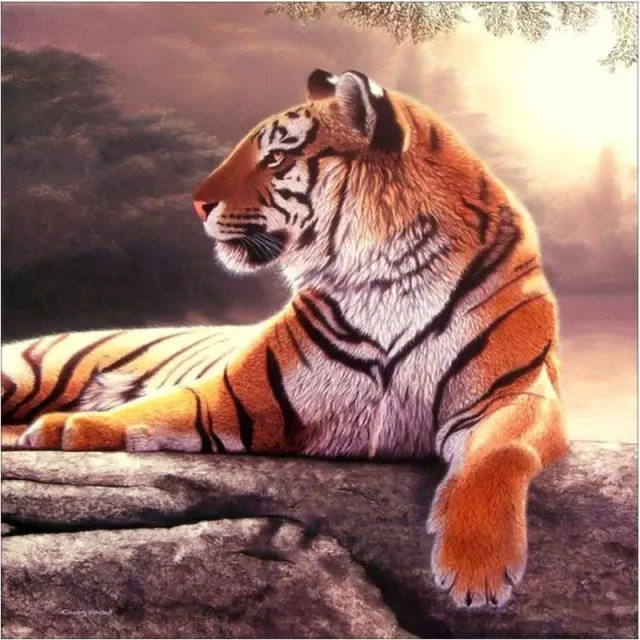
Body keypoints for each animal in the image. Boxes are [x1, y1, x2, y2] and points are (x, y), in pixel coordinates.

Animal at [1, 68, 568, 609]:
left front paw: (478, 569)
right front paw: (65, 427)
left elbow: (498, 452)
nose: (197, 204)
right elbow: (147, 411)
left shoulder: (517, 393)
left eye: (275, 157)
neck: (388, 278)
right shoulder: (230, 397)